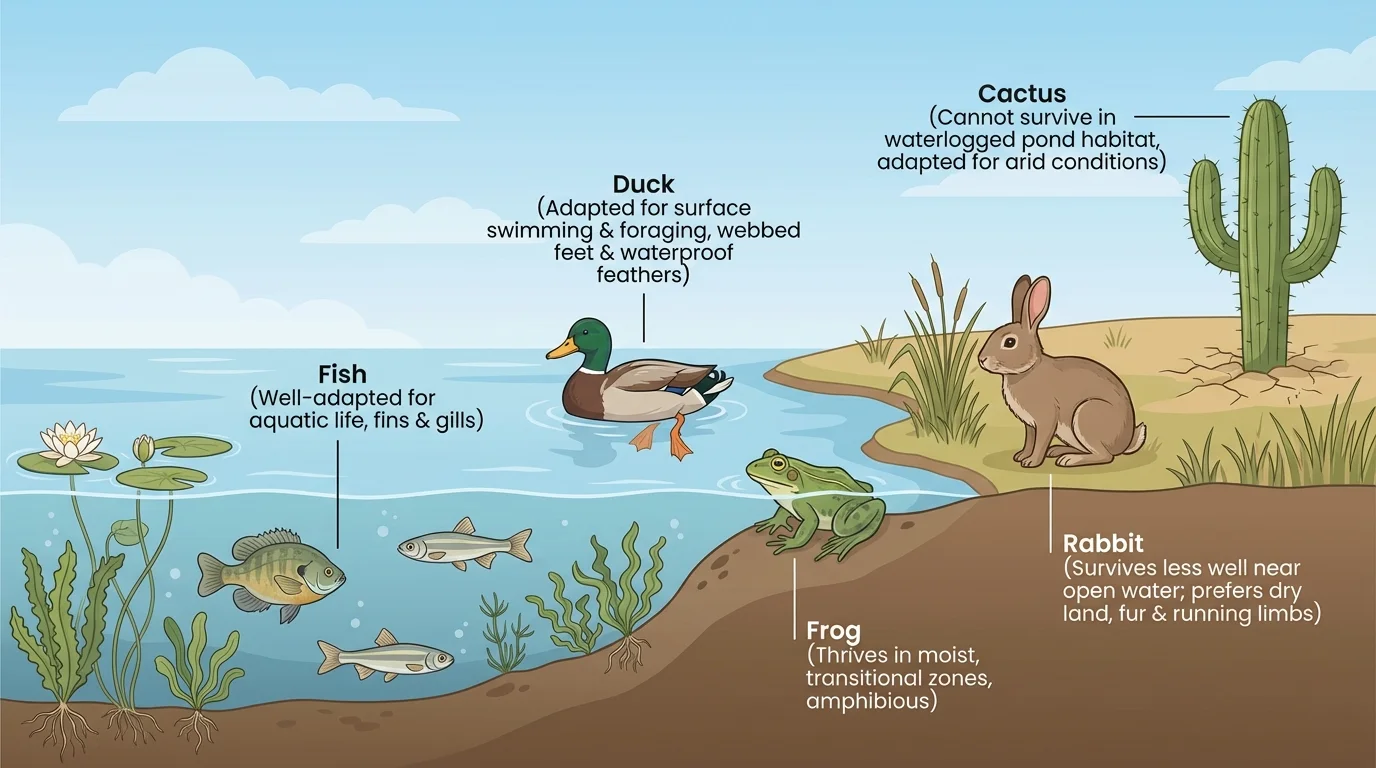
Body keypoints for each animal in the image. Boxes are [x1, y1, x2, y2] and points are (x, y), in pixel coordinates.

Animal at [977, 275, 1147, 468]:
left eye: (1010, 342)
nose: (981, 359)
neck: (1028, 369)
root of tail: (1126, 442)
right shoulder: (1030, 425)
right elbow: (1030, 440)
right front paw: (1021, 456)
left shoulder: (1046, 418)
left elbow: (1040, 442)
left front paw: (1031, 462)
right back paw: (1058, 451)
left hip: (1087, 416)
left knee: (1105, 456)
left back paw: (1068, 460)